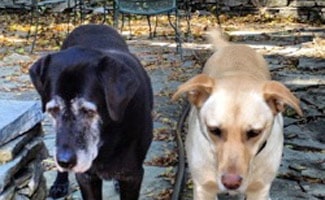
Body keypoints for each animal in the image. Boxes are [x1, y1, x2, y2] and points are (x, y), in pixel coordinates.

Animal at [29, 24, 153, 199]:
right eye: (53, 110)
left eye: (88, 111)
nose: (65, 161)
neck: (107, 140)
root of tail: (92, 24)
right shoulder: (85, 177)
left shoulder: (132, 175)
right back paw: (60, 183)